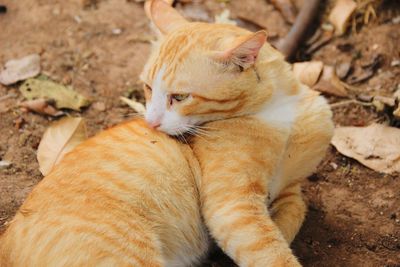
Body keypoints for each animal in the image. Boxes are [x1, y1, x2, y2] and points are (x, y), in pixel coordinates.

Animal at [141, 1, 334, 266]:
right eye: (148, 87)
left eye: (180, 97)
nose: (150, 123)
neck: (279, 109)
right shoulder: (232, 206)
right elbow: (272, 253)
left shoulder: (290, 190)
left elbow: (292, 217)